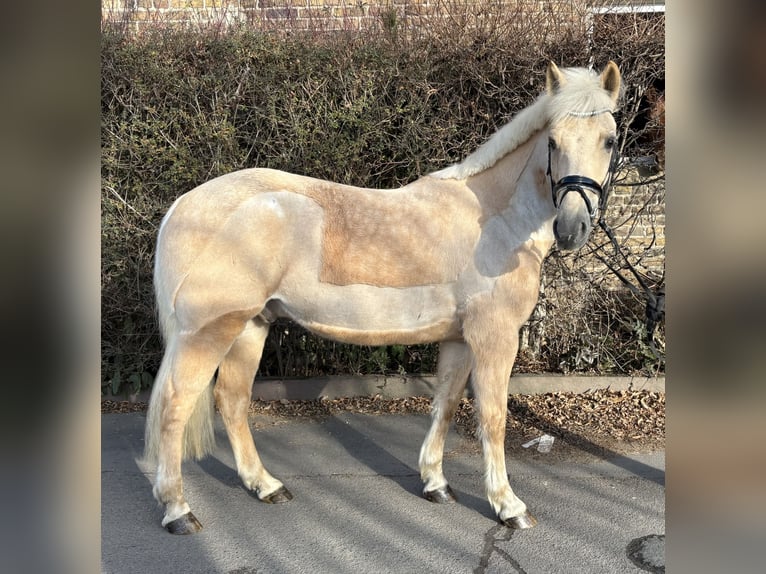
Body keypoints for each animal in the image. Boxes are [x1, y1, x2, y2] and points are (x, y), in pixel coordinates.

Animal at [144, 61, 622, 534]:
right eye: (553, 141)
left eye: (609, 139)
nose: (572, 228)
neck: (492, 219)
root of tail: (183, 206)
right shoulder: (495, 337)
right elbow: (493, 417)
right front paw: (508, 505)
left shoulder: (458, 338)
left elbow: (445, 403)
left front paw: (435, 484)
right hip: (209, 331)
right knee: (175, 406)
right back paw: (178, 510)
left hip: (251, 325)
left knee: (232, 399)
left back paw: (265, 486)